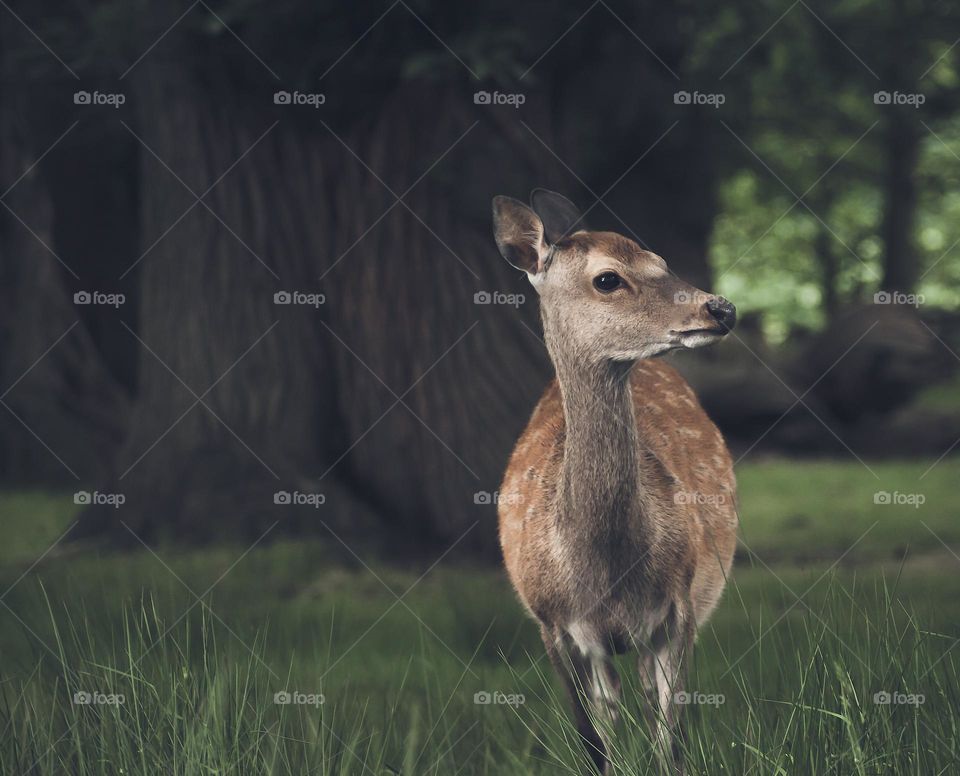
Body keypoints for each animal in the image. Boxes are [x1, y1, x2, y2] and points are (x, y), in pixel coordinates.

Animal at [492, 191, 740, 772]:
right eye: (607, 278)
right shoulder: (552, 623)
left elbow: (670, 738)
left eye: (661, 260)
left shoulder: (680, 605)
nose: (721, 308)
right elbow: (591, 740)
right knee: (612, 709)